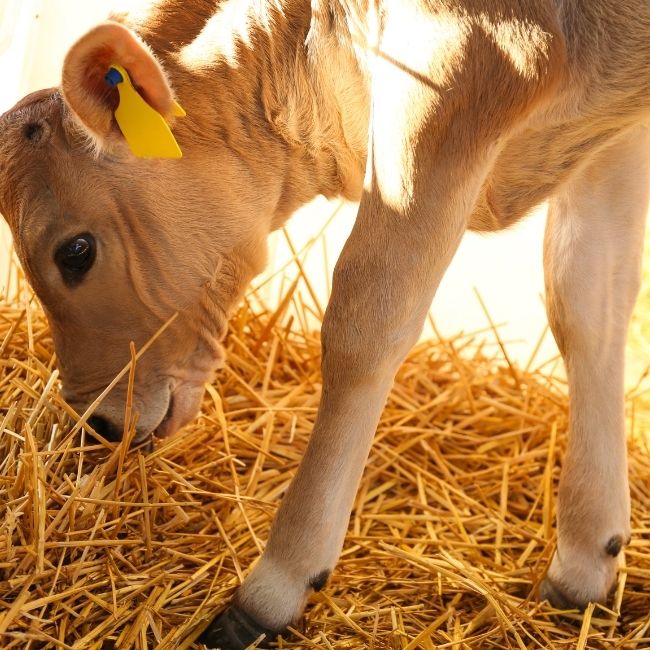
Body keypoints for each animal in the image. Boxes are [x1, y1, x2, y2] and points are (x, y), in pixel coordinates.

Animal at [0, 1, 649, 647]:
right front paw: (586, 561)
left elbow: (364, 324)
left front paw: (275, 586)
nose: (98, 422)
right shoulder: (613, 129)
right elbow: (587, 301)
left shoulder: (459, 71)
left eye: (75, 251)